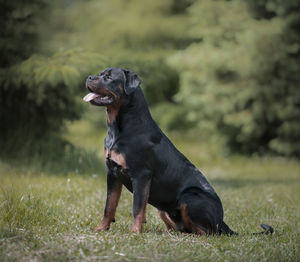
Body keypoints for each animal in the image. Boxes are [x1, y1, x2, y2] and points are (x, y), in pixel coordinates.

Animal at [83, 67, 274, 235]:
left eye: (108, 77)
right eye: (100, 73)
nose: (89, 77)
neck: (118, 128)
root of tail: (222, 221)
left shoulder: (141, 174)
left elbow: (137, 208)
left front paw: (135, 232)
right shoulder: (112, 173)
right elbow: (109, 205)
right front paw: (101, 229)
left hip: (190, 198)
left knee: (207, 232)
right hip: (163, 209)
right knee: (181, 227)